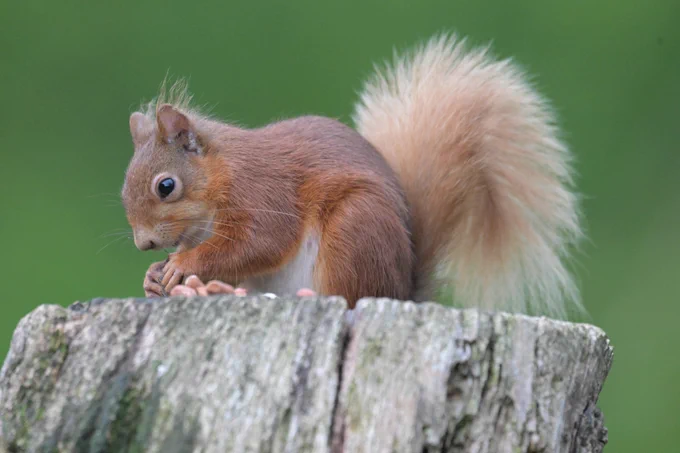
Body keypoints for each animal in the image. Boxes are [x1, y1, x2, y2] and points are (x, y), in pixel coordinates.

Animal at [121, 34, 582, 317]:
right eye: (125, 192)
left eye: (166, 186)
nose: (144, 244)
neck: (222, 174)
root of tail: (400, 290)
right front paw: (153, 278)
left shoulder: (264, 193)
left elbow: (258, 242)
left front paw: (183, 263)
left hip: (356, 231)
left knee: (350, 293)